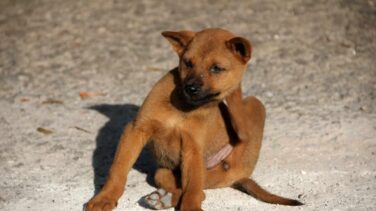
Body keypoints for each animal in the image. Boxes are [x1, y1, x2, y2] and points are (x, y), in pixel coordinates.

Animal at [85, 28, 302, 211]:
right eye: (188, 63)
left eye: (216, 68)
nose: (190, 88)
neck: (183, 108)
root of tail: (240, 176)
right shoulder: (136, 129)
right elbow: (118, 170)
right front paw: (104, 198)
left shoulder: (193, 148)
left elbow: (192, 190)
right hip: (163, 172)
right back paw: (163, 198)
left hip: (254, 106)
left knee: (200, 190)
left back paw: (164, 199)